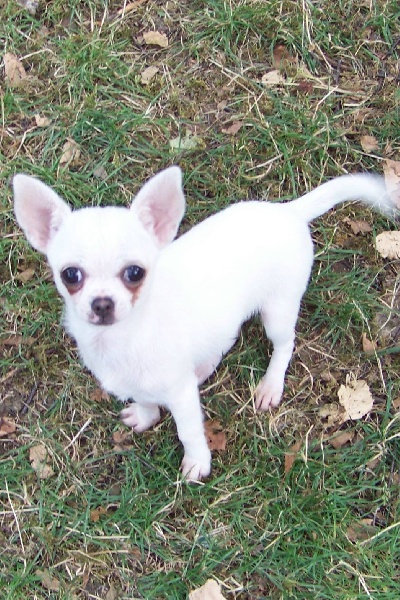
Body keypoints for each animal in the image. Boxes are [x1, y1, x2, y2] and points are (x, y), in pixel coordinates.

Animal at [13, 167, 394, 480]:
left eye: (134, 273)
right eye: (71, 275)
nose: (102, 303)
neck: (122, 338)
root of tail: (288, 212)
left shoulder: (180, 396)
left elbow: (189, 431)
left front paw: (198, 463)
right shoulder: (143, 382)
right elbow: (146, 400)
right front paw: (146, 416)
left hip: (278, 310)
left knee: (285, 344)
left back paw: (270, 385)